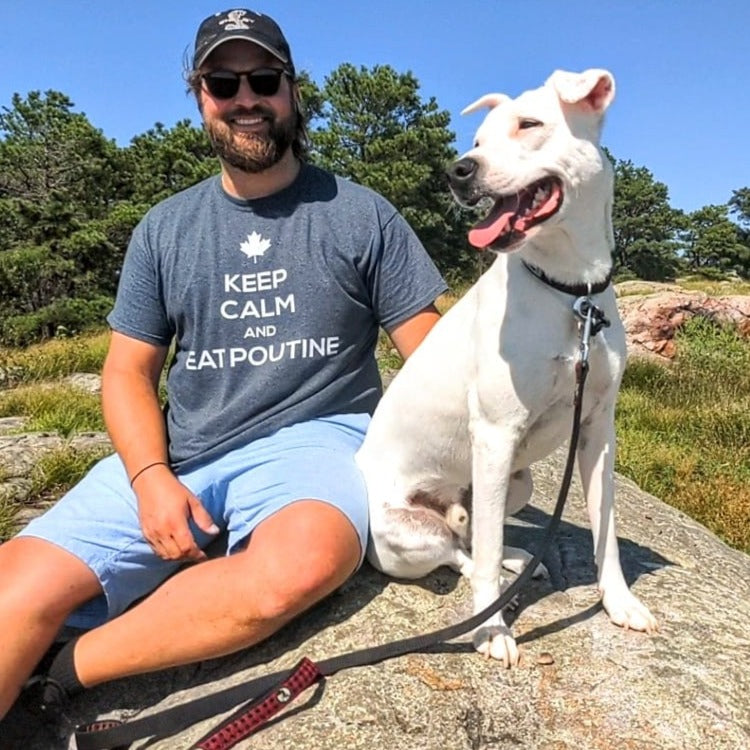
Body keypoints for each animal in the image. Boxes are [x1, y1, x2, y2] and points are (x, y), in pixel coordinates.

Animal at [358, 70, 656, 668]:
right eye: (476, 141)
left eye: (529, 124)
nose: (458, 171)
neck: (571, 293)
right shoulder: (496, 435)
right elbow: (485, 556)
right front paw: (492, 628)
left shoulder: (597, 431)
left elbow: (606, 530)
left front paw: (619, 602)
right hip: (406, 537)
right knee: (461, 553)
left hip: (519, 482)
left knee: (474, 534)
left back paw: (520, 559)